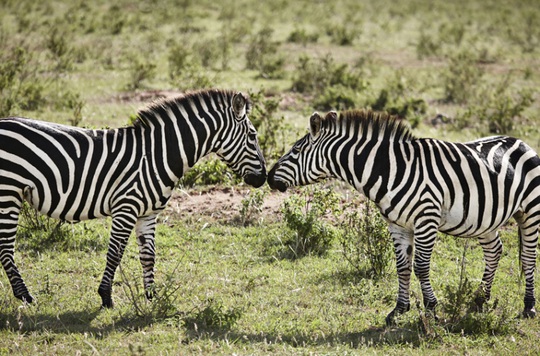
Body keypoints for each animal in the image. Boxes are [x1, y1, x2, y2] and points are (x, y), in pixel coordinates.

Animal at [0, 87, 266, 308]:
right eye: (253, 136)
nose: (263, 178)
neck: (157, 155)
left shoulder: (148, 214)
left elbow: (148, 256)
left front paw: (152, 297)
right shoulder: (126, 208)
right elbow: (115, 253)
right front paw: (106, 297)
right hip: (8, 193)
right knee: (6, 248)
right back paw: (25, 296)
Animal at [266, 109, 540, 326]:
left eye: (296, 149)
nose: (268, 177)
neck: (388, 170)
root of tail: (520, 140)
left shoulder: (426, 220)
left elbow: (420, 266)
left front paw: (431, 310)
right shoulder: (397, 225)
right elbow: (402, 267)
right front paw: (398, 310)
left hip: (530, 210)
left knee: (528, 256)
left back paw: (528, 306)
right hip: (486, 218)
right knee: (494, 251)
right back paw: (480, 300)